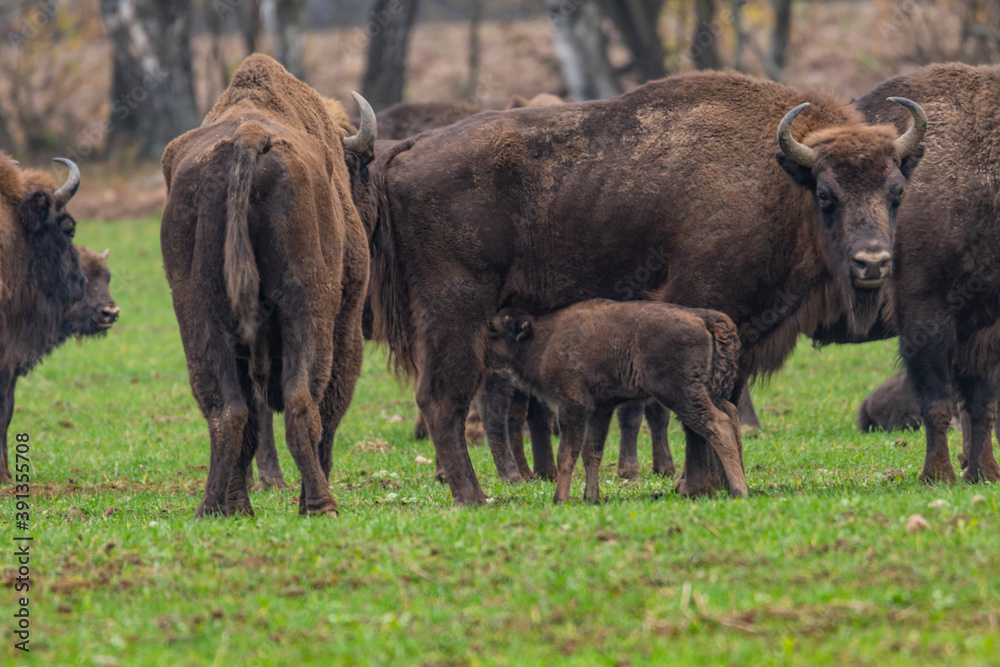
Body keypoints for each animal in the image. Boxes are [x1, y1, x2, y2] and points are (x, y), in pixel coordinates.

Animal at [162, 54, 376, 520]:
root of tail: (249, 136)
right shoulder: (347, 325)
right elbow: (325, 410)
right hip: (310, 312)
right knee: (301, 402)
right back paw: (320, 505)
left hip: (199, 315)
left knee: (226, 412)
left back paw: (218, 508)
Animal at [488, 300, 748, 504]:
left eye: (494, 329)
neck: (544, 339)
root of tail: (701, 316)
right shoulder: (599, 411)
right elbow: (591, 453)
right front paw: (590, 498)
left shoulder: (572, 407)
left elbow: (567, 454)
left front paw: (560, 499)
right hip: (706, 389)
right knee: (731, 412)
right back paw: (739, 482)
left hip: (680, 393)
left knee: (718, 424)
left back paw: (739, 491)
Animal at [852, 62, 1000, 486]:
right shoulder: (924, 313)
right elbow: (937, 402)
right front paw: (938, 476)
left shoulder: (986, 326)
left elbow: (981, 404)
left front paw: (984, 474)